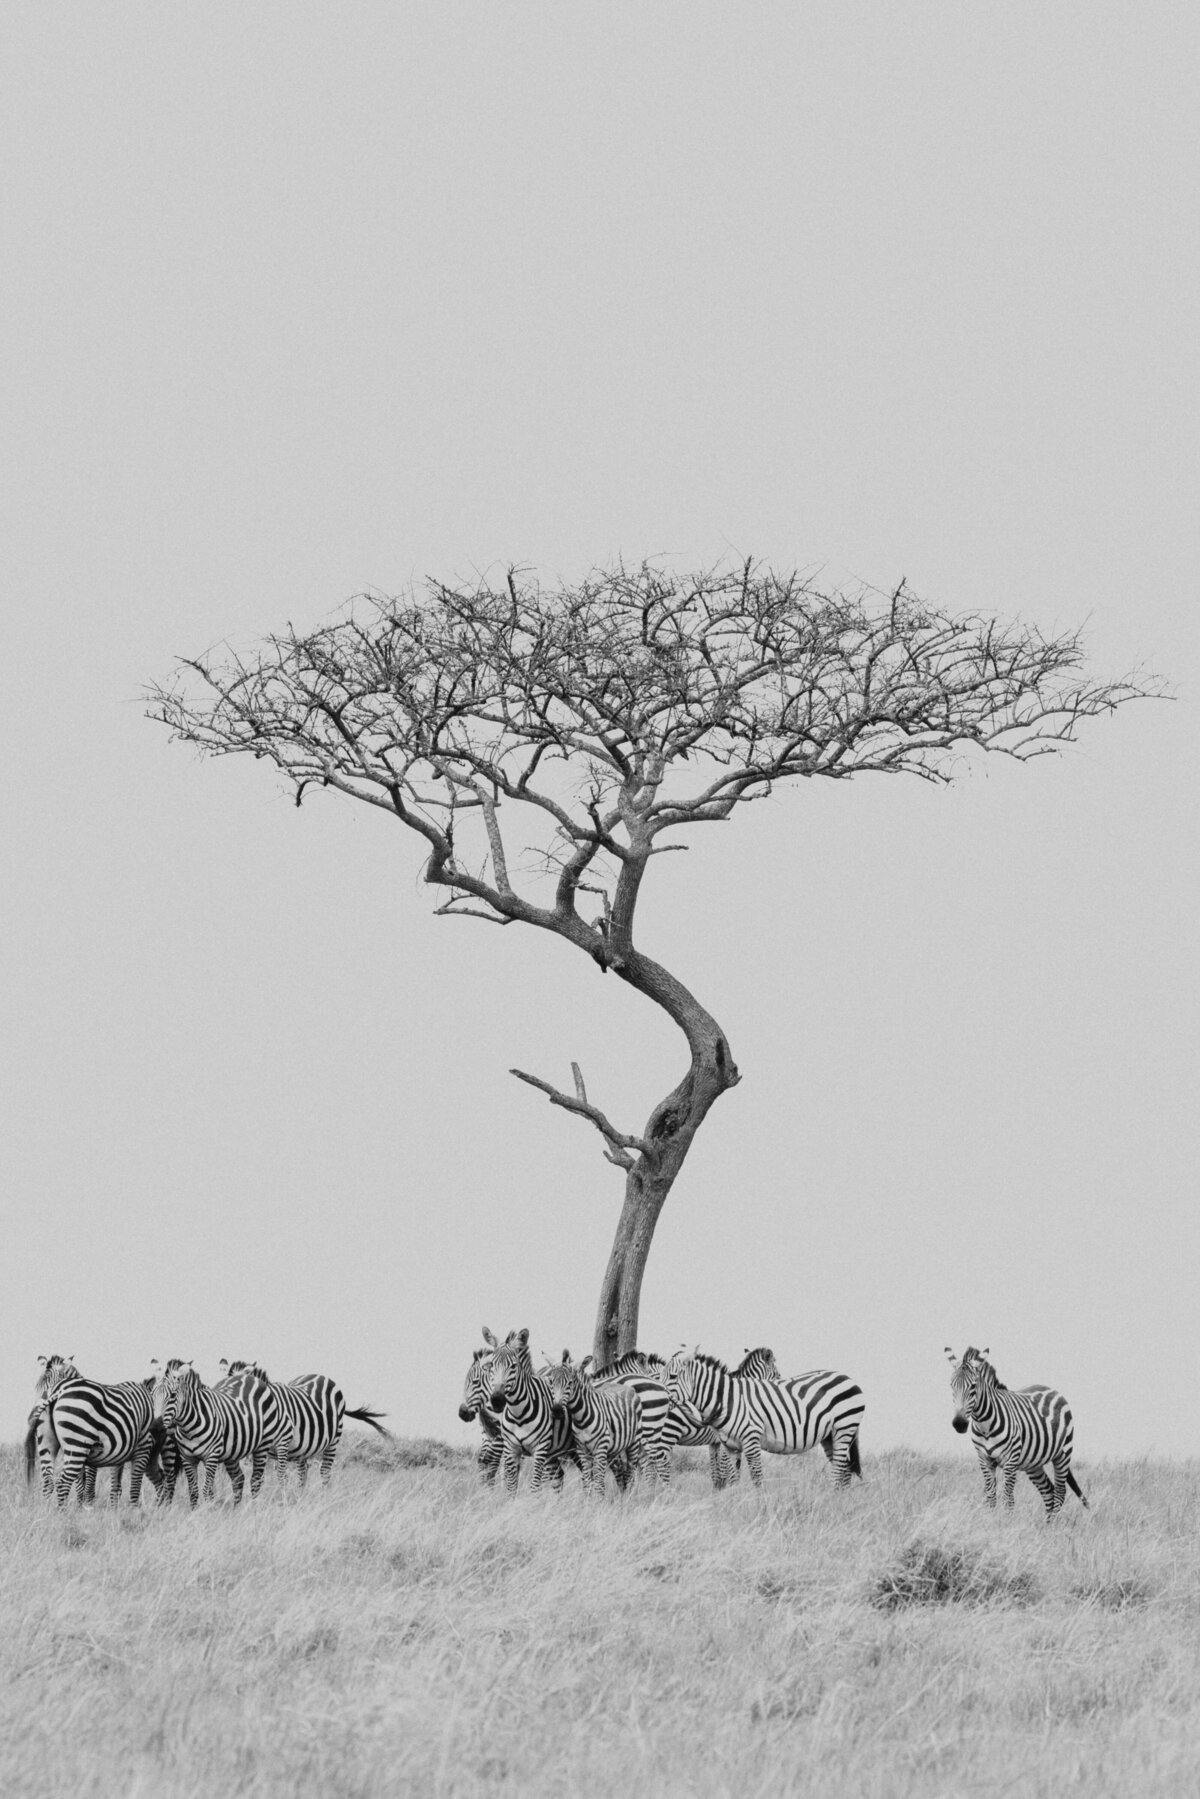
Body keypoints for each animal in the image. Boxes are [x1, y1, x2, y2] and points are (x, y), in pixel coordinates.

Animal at [153, 1360, 291, 1503]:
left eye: (173, 1395)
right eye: (152, 1394)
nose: (156, 1427)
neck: (188, 1428)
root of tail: (249, 1377)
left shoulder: (211, 1456)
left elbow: (206, 1490)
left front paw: (207, 1508)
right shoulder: (187, 1458)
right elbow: (193, 1492)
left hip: (262, 1446)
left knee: (255, 1480)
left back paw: (253, 1506)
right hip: (233, 1453)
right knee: (239, 1479)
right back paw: (236, 1507)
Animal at [216, 1352, 385, 1482]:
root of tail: (319, 1375)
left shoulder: (282, 1442)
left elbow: (281, 1476)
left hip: (333, 1440)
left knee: (325, 1472)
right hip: (305, 1448)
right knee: (303, 1473)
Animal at [489, 1331, 582, 1496]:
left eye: (513, 1366)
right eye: (491, 1365)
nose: (497, 1400)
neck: (518, 1414)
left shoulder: (540, 1449)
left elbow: (534, 1488)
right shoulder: (511, 1449)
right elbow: (511, 1488)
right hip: (553, 1453)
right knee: (559, 1476)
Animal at [665, 1352, 863, 1489]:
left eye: (673, 1376)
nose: (659, 1396)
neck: (728, 1400)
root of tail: (846, 1377)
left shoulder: (751, 1439)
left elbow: (756, 1478)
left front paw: (760, 1506)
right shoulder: (730, 1446)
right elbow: (733, 1478)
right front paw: (734, 1506)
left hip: (844, 1428)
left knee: (839, 1470)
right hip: (829, 1436)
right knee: (844, 1470)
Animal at [949, 1352, 1086, 1518]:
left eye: (973, 1386)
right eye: (951, 1386)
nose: (959, 1423)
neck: (985, 1427)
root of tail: (1051, 1389)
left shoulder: (1010, 1461)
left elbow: (1008, 1498)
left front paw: (1006, 1521)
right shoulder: (984, 1460)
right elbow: (991, 1496)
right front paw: (991, 1520)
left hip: (1063, 1453)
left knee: (1060, 1492)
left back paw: (1054, 1523)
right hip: (1033, 1463)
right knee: (1048, 1491)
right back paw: (1046, 1523)